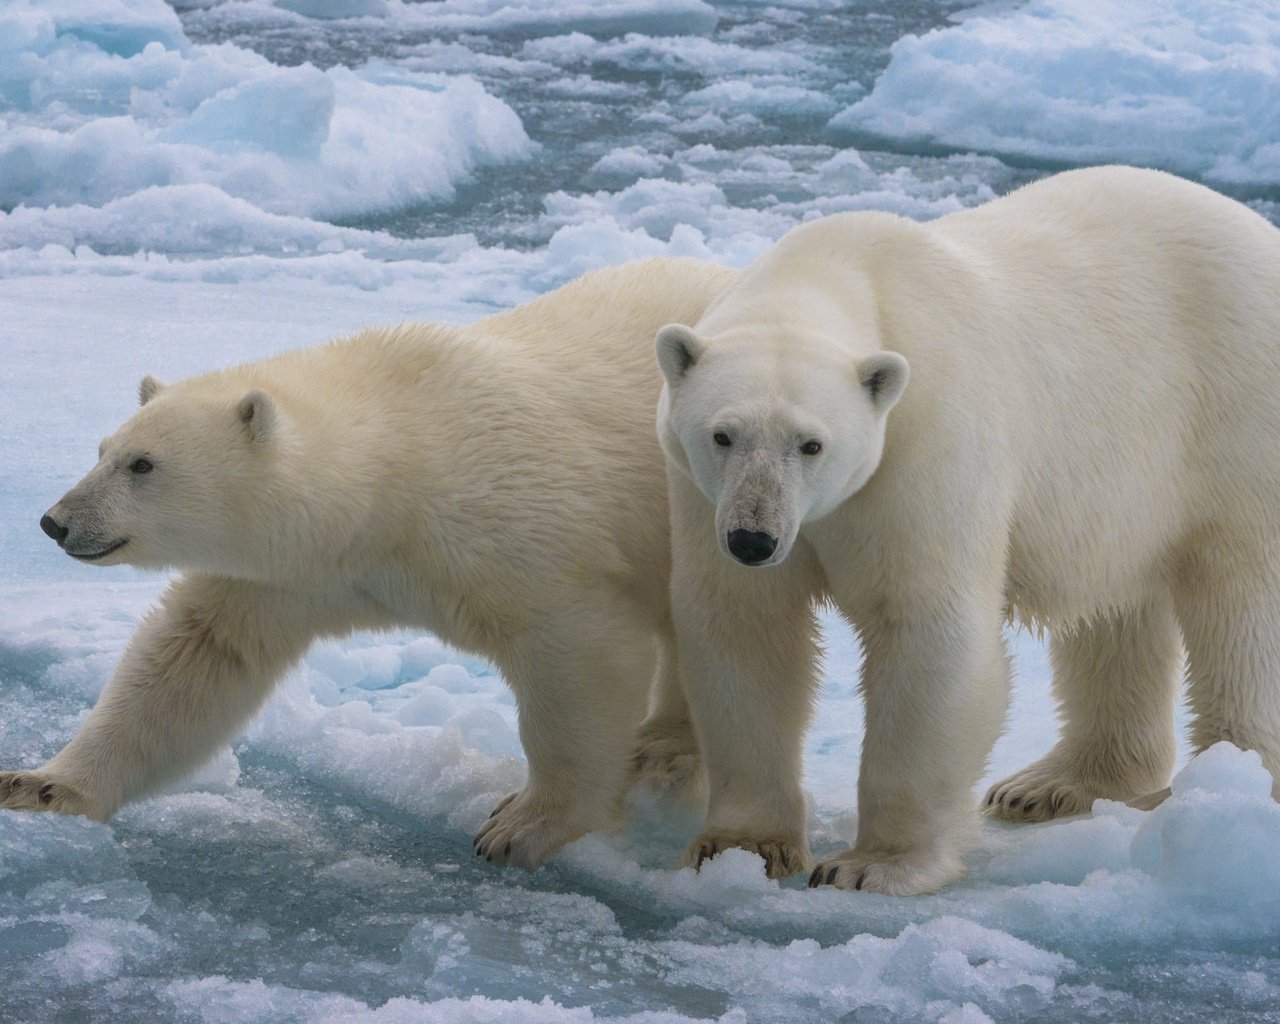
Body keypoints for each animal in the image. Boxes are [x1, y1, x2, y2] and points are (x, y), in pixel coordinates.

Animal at [2, 256, 742, 865]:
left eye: (143, 464)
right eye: (102, 449)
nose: (55, 521)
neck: (398, 469)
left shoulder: (520, 532)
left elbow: (579, 657)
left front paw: (521, 825)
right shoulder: (294, 574)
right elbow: (196, 657)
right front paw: (42, 785)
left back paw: (668, 751)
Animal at [655, 167, 1280, 896]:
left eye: (812, 444)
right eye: (722, 434)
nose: (754, 541)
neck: (844, 270)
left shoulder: (926, 439)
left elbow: (925, 625)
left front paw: (871, 865)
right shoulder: (701, 494)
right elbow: (744, 628)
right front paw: (741, 848)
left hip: (1234, 415)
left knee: (1241, 605)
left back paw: (1220, 793)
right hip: (1125, 485)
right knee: (1117, 609)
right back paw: (1051, 784)